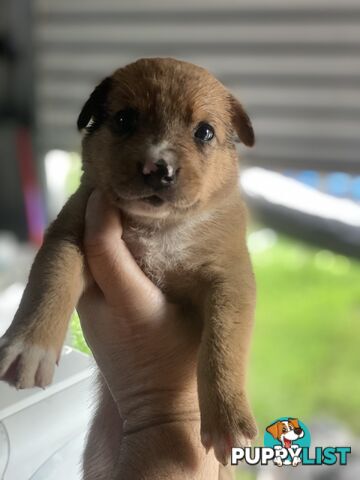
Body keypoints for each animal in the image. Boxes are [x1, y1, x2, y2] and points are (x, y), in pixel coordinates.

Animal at [0, 58, 258, 470]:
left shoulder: (230, 278)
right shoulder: (69, 235)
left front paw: (228, 421)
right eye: (124, 119)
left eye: (204, 132)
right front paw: (30, 346)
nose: (158, 168)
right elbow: (51, 283)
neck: (158, 227)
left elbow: (223, 345)